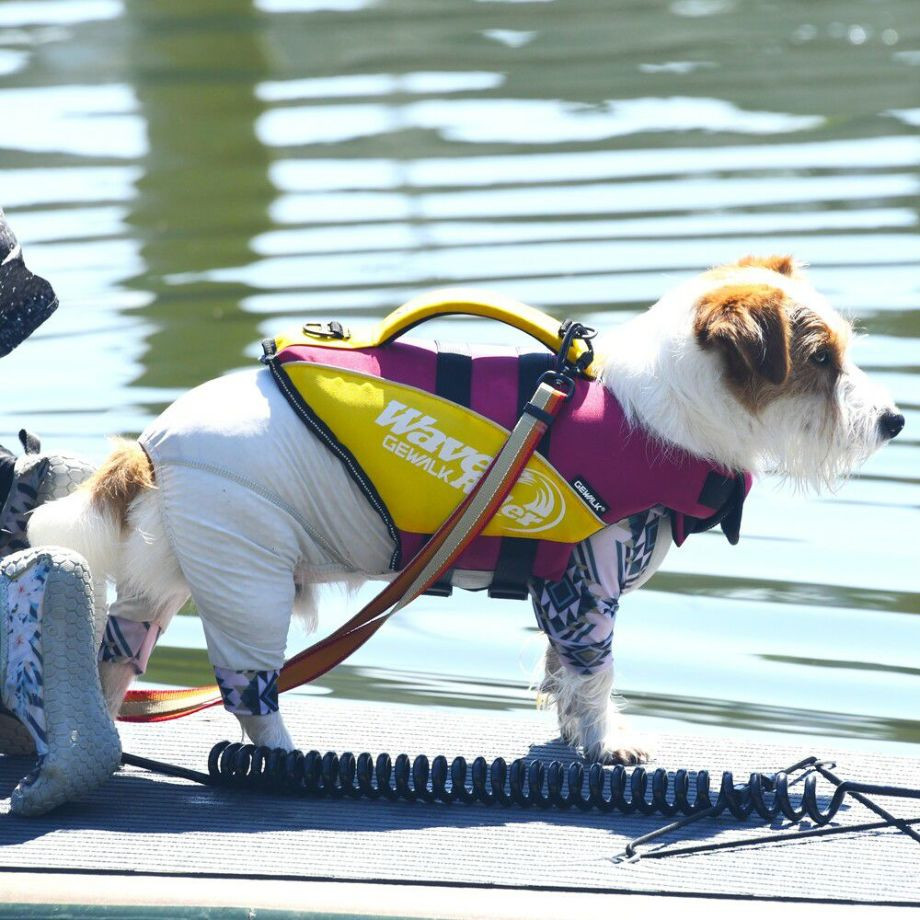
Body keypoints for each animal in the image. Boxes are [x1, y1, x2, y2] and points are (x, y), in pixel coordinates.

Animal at [30, 255, 904, 764]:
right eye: (821, 360)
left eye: (843, 350)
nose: (895, 420)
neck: (656, 414)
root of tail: (149, 447)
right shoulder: (588, 580)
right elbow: (595, 672)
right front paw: (605, 744)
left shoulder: (564, 591)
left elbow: (563, 671)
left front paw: (572, 732)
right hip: (247, 575)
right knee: (250, 690)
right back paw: (284, 753)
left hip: (167, 578)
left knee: (116, 656)